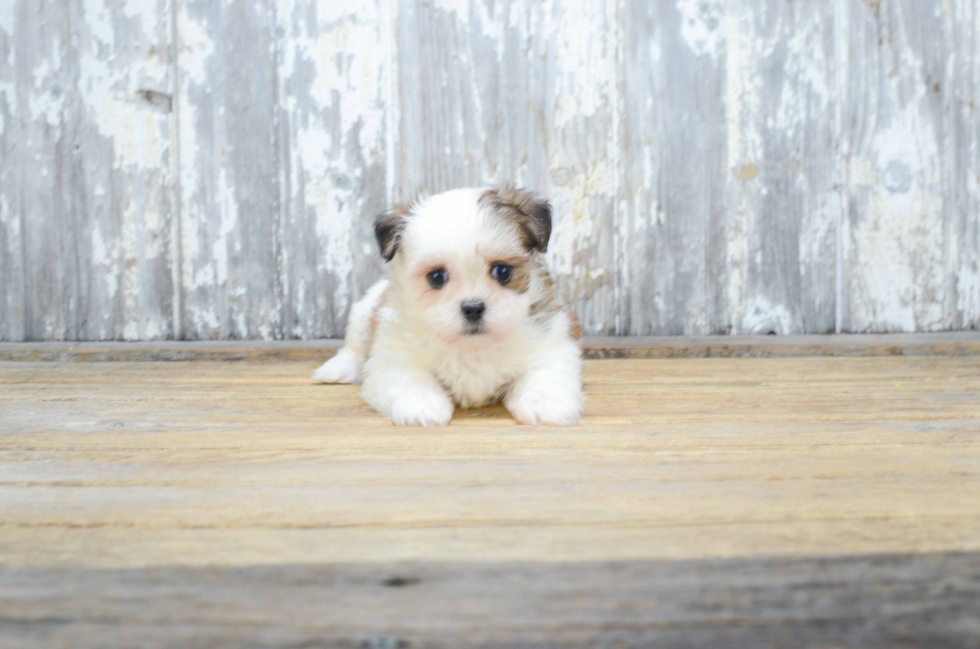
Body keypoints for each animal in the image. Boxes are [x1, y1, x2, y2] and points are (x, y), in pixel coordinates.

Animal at [312, 186, 580, 426]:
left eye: (503, 272)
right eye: (437, 277)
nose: (473, 307)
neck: (471, 347)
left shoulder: (550, 344)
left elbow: (545, 372)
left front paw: (543, 403)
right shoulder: (392, 356)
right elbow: (410, 377)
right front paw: (421, 406)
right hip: (364, 313)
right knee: (354, 347)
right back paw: (336, 369)